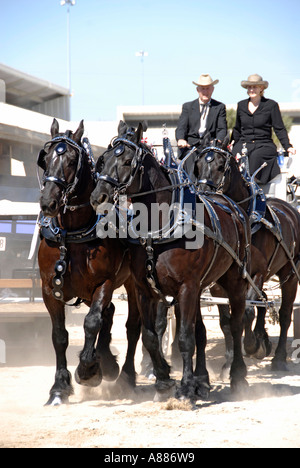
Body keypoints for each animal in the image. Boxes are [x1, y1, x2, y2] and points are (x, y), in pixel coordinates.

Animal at [37, 119, 141, 404]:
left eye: (72, 160)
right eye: (45, 158)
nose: (48, 202)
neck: (72, 235)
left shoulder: (104, 283)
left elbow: (92, 322)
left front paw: (87, 370)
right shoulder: (49, 289)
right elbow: (59, 336)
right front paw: (59, 387)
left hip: (132, 284)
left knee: (132, 326)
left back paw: (124, 374)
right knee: (110, 314)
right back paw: (106, 360)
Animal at [90, 121, 252, 402]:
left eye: (128, 161)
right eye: (103, 160)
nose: (98, 197)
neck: (160, 228)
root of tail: (230, 203)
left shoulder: (186, 287)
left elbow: (185, 338)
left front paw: (185, 388)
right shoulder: (145, 289)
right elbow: (150, 336)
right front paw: (164, 381)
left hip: (233, 282)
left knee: (236, 324)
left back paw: (237, 376)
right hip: (201, 288)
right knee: (201, 332)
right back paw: (203, 380)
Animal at [195, 137, 300, 372]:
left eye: (220, 166)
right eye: (197, 165)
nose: (203, 194)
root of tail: (290, 209)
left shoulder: (258, 273)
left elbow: (247, 313)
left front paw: (251, 345)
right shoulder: (218, 282)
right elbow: (227, 321)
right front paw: (229, 362)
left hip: (289, 273)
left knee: (285, 313)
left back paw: (278, 358)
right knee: (265, 300)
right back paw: (263, 339)